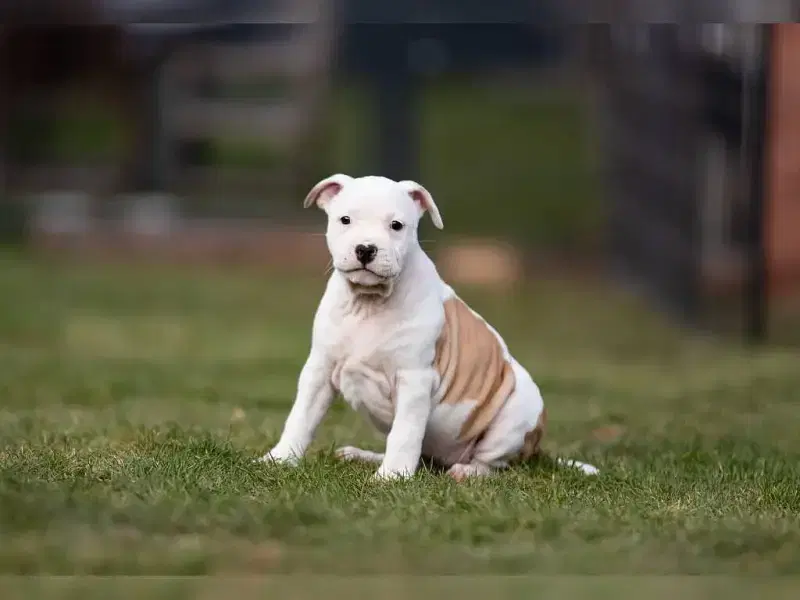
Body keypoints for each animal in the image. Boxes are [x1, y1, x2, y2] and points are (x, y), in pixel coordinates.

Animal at [260, 174, 599, 480]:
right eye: (345, 220)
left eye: (396, 226)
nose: (366, 249)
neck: (369, 304)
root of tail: (536, 448)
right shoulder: (319, 369)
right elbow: (301, 418)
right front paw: (280, 459)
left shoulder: (414, 380)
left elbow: (405, 433)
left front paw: (392, 477)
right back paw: (362, 455)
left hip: (516, 413)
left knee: (495, 463)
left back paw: (468, 471)